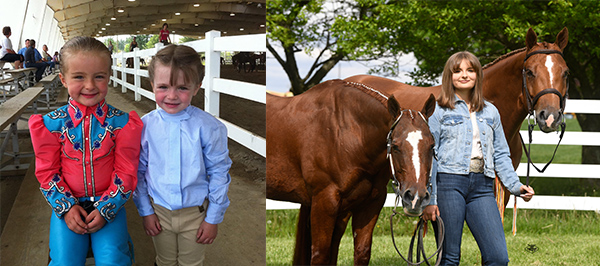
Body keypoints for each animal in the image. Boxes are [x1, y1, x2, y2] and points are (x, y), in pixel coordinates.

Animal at [268, 80, 436, 264]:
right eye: (396, 146)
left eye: (432, 145)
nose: (416, 197)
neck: (345, 132)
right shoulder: (324, 202)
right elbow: (320, 254)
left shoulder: (368, 205)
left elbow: (360, 252)